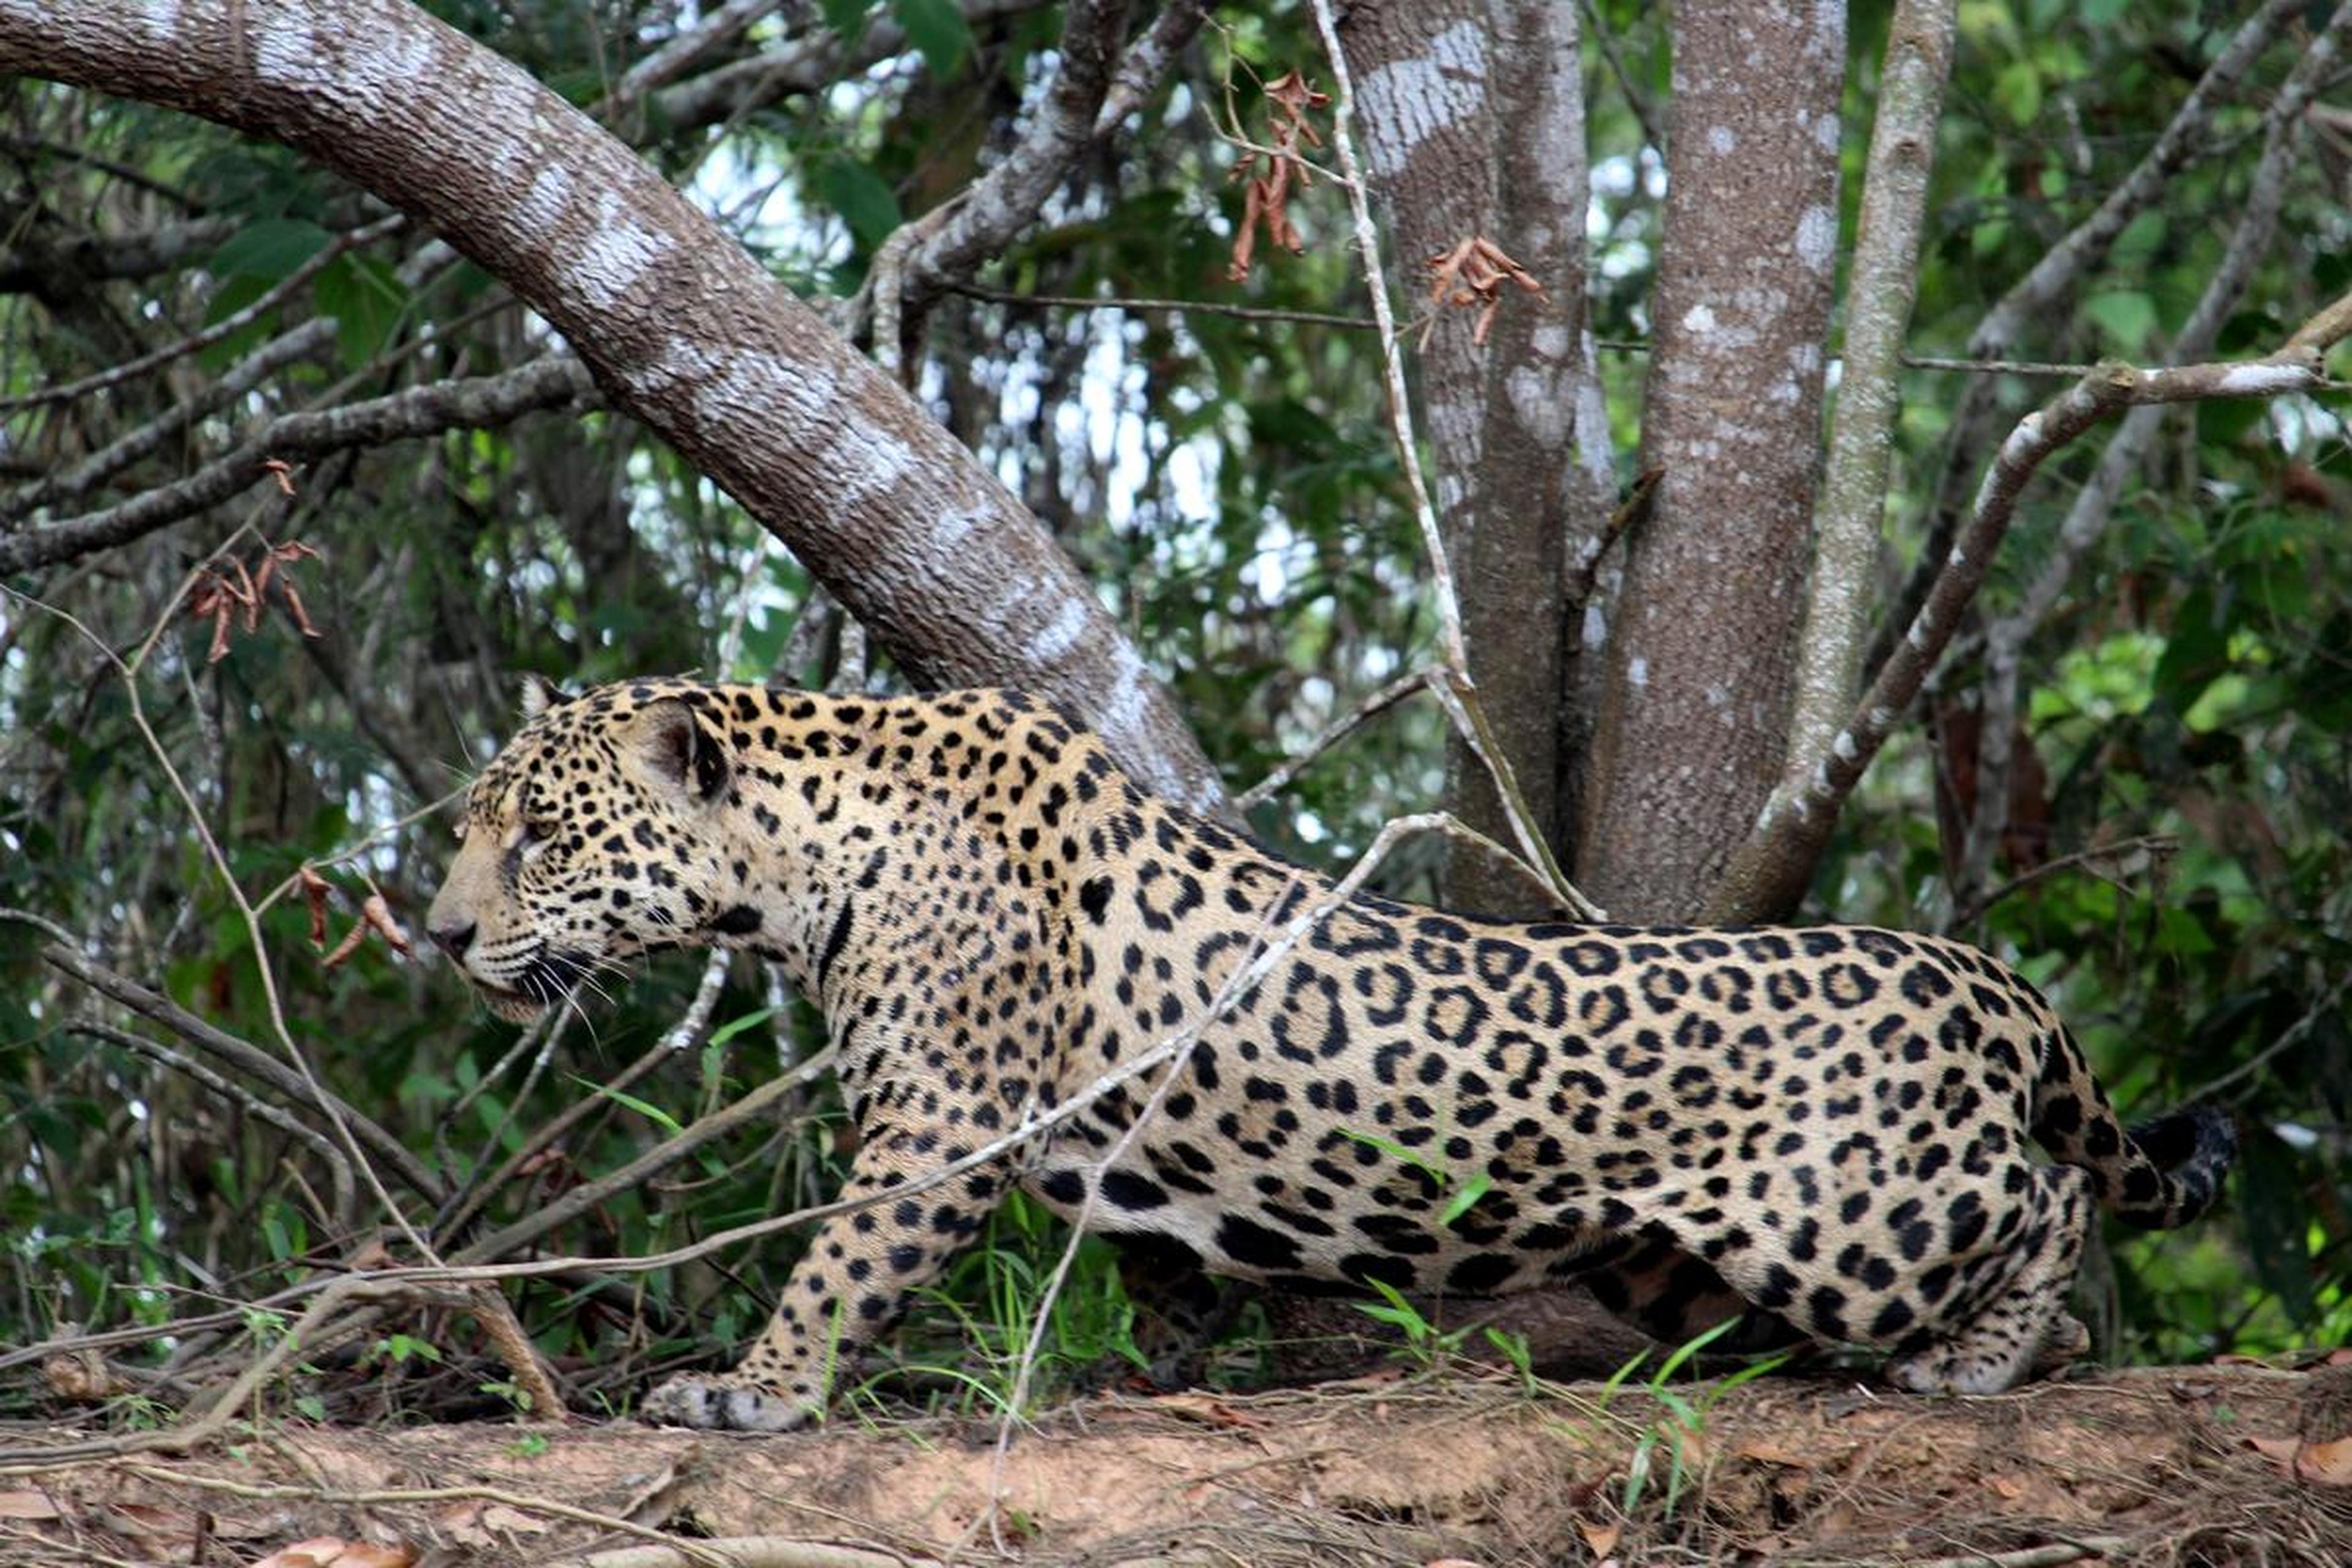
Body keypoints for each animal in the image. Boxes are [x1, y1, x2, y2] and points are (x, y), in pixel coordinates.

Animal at [424, 677, 2236, 1431]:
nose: (436, 935)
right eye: (473, 829)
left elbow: (840, 1266)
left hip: (1855, 1214)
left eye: (536, 837)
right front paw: (1144, 1374)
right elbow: (1156, 1271)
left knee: (2050, 1199)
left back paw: (1977, 1364)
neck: (801, 860)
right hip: (1676, 1247)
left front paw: (755, 1392)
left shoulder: (936, 1124)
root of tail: (1976, 972)